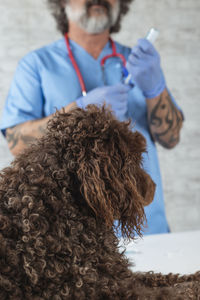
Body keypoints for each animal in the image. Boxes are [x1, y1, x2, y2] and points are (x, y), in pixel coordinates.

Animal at [0, 105, 199, 298]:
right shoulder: (104, 288)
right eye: (134, 160)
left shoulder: (119, 274)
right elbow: (177, 291)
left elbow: (161, 277)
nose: (155, 186)